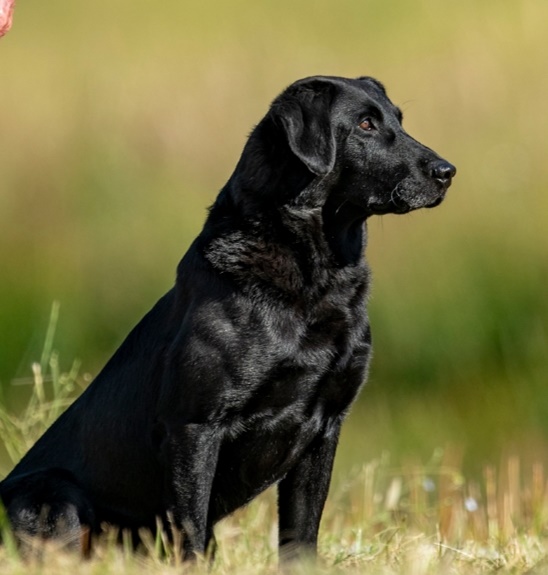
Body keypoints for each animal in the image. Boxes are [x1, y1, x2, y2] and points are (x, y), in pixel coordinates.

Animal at [0, 76, 454, 564]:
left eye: (399, 120)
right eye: (366, 124)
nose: (447, 171)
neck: (317, 278)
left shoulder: (326, 426)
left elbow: (300, 533)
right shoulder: (194, 426)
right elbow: (191, 529)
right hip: (52, 497)